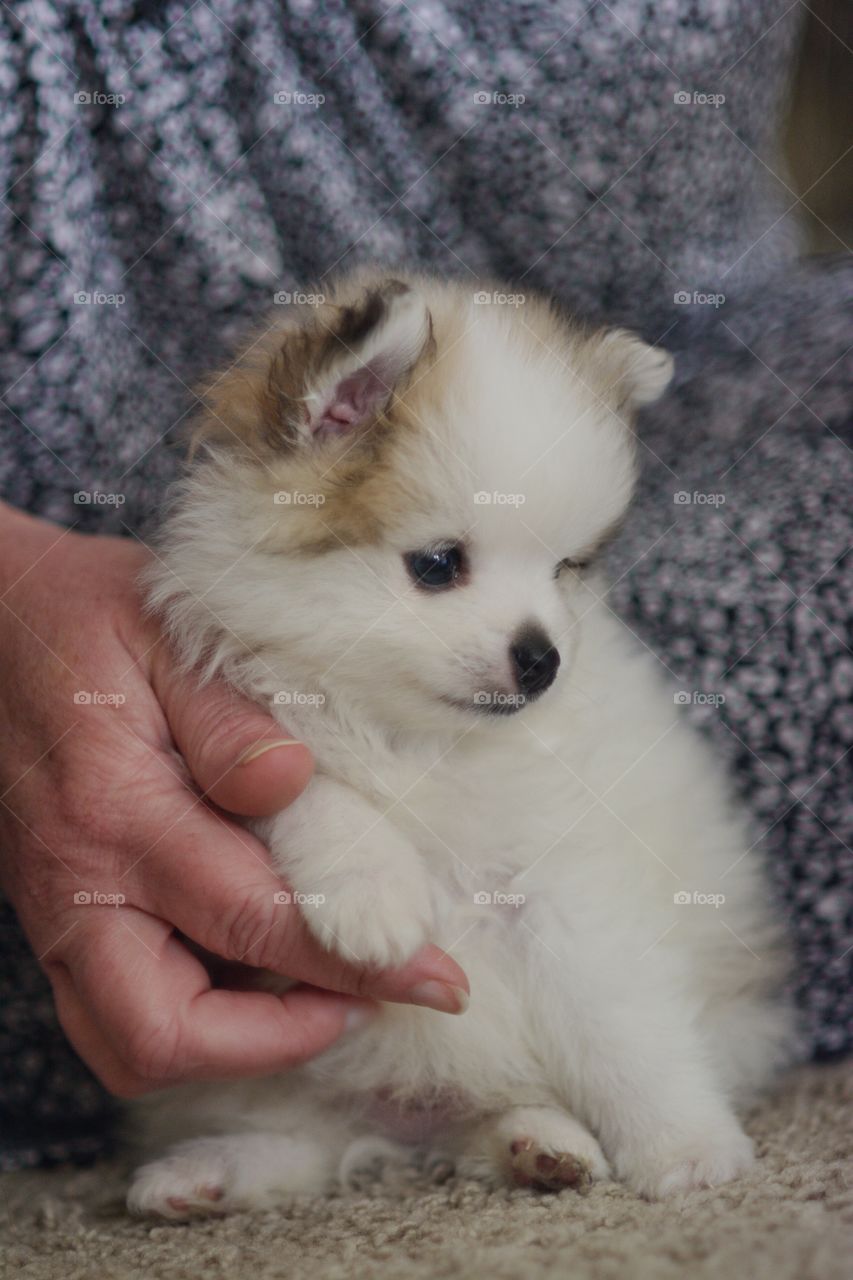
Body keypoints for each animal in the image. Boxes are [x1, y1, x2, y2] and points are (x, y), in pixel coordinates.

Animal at [129, 272, 794, 1218]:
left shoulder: (565, 889)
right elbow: (306, 784)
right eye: (438, 565)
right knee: (304, 1140)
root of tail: (419, 1118)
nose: (542, 658)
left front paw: (687, 1149)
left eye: (565, 568)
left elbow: (624, 1033)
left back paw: (540, 1146)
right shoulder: (235, 733)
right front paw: (370, 891)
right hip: (263, 1075)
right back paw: (205, 1175)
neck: (421, 741)